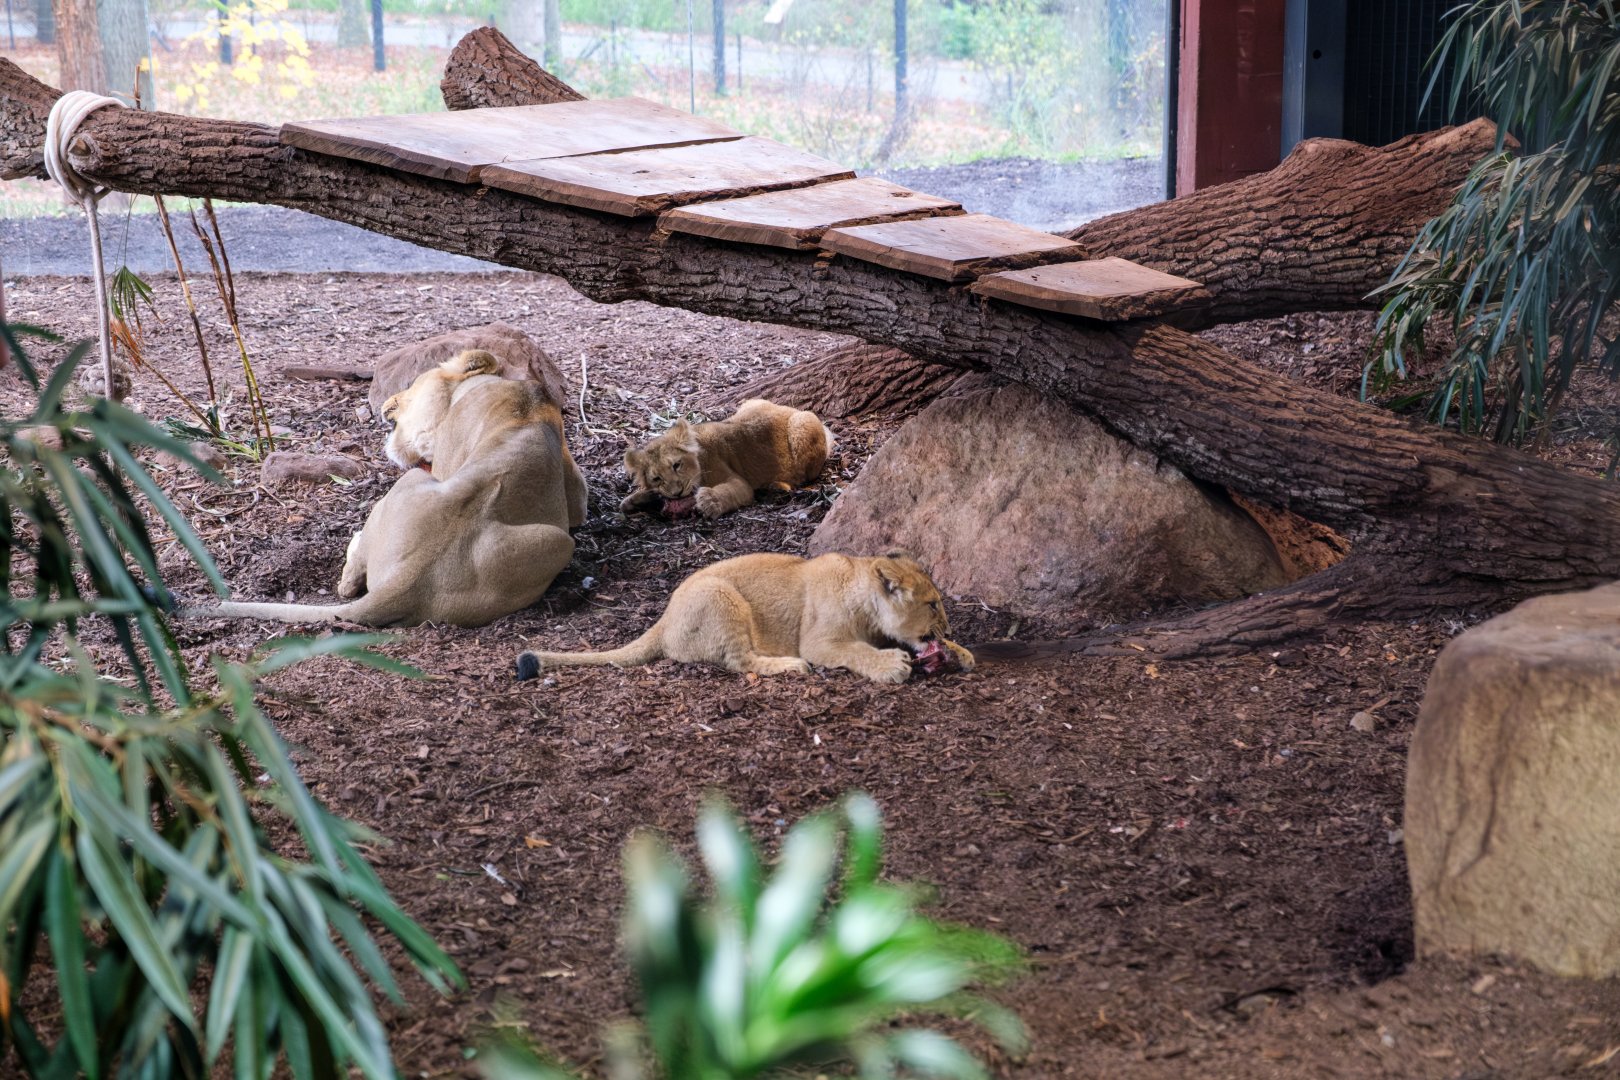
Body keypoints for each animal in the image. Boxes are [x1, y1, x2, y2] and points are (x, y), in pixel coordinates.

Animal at [514, 550, 974, 684]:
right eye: (933, 604)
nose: (949, 626)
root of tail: (663, 619)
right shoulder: (820, 640)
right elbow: (855, 652)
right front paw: (891, 665)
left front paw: (960, 651)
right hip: (723, 597)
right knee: (741, 662)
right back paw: (789, 665)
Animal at [620, 398, 833, 519]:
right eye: (656, 478)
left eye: (676, 465)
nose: (677, 493)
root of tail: (791, 409)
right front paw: (634, 500)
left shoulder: (738, 481)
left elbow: (730, 490)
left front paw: (709, 502)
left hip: (803, 422)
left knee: (806, 476)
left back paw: (775, 486)